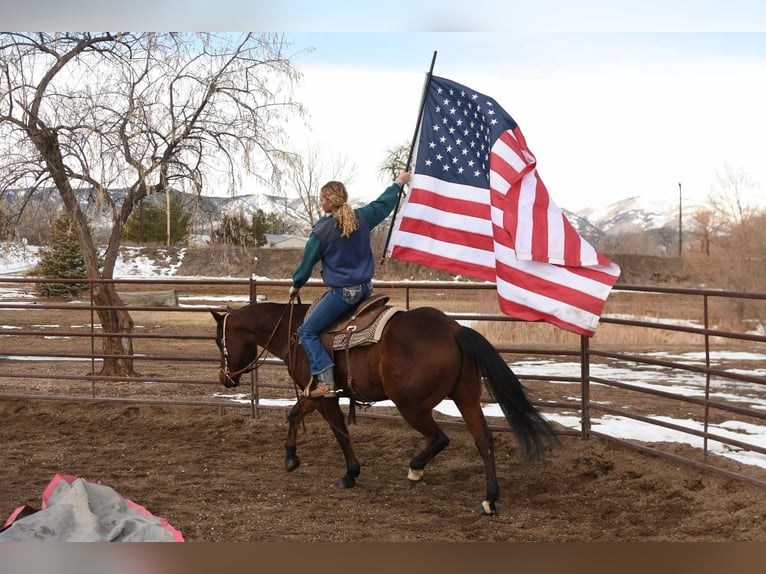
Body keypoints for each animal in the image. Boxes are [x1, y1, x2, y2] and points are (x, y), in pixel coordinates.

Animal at [212, 300, 560, 516]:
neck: (296, 331)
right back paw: (489, 500)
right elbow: (294, 413)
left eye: (218, 341)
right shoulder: (314, 393)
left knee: (440, 438)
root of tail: (454, 329)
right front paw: (290, 457)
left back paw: (415, 470)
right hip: (466, 397)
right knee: (483, 441)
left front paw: (350, 473)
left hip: (412, 404)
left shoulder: (325, 395)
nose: (224, 379)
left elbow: (341, 433)